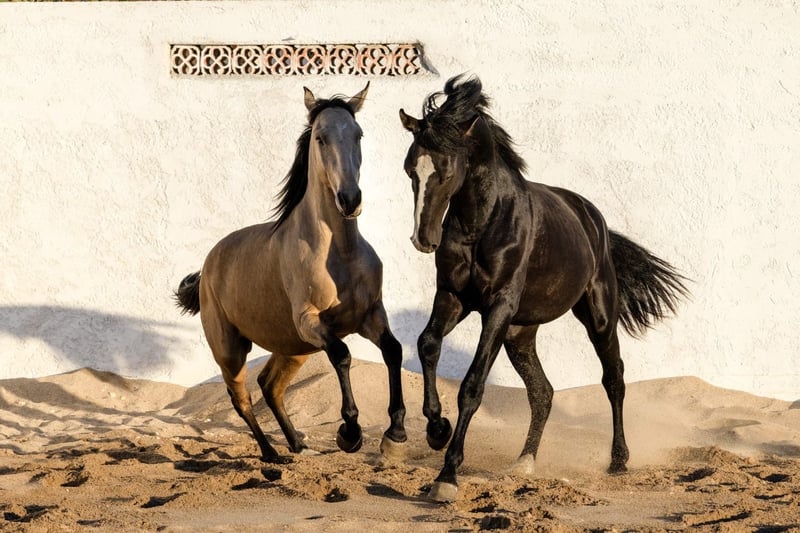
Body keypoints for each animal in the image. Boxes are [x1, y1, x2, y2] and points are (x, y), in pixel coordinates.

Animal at [174, 83, 407, 463]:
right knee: (241, 398)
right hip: (231, 350)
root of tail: (207, 267)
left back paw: (298, 444)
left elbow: (393, 350)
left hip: (293, 347)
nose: (350, 199)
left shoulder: (371, 316)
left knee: (270, 386)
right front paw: (349, 433)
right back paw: (273, 455)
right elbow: (342, 355)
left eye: (357, 134)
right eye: (320, 138)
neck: (340, 255)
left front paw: (396, 433)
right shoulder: (311, 321)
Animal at [398, 75, 688, 502]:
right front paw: (437, 429)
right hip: (519, 333)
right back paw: (524, 463)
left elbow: (472, 385)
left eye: (447, 170)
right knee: (543, 391)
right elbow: (427, 344)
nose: (423, 239)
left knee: (613, 378)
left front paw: (447, 476)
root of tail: (594, 219)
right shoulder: (453, 298)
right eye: (410, 170)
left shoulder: (497, 308)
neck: (484, 223)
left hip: (598, 317)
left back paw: (618, 460)